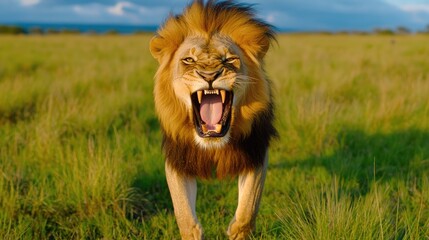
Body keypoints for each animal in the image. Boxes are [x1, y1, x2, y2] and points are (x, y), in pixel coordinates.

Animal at [150, 0, 276, 239]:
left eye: (229, 59)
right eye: (189, 60)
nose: (209, 75)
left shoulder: (256, 151)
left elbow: (248, 206)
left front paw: (237, 232)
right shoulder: (177, 158)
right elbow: (183, 213)